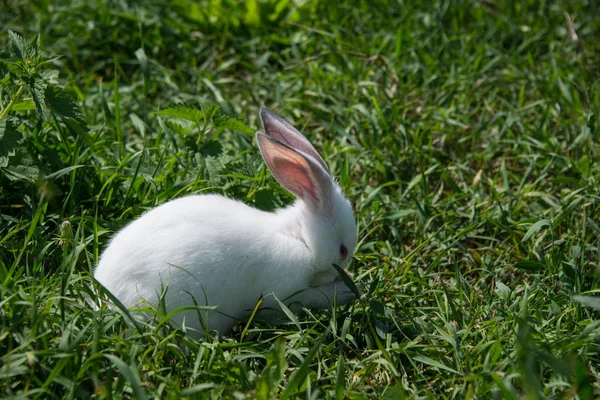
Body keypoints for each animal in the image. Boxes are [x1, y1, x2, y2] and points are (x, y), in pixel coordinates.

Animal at [93, 108, 356, 336]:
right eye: (343, 251)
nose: (344, 278)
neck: (297, 237)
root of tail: (105, 298)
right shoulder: (283, 294)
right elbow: (310, 298)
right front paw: (343, 292)